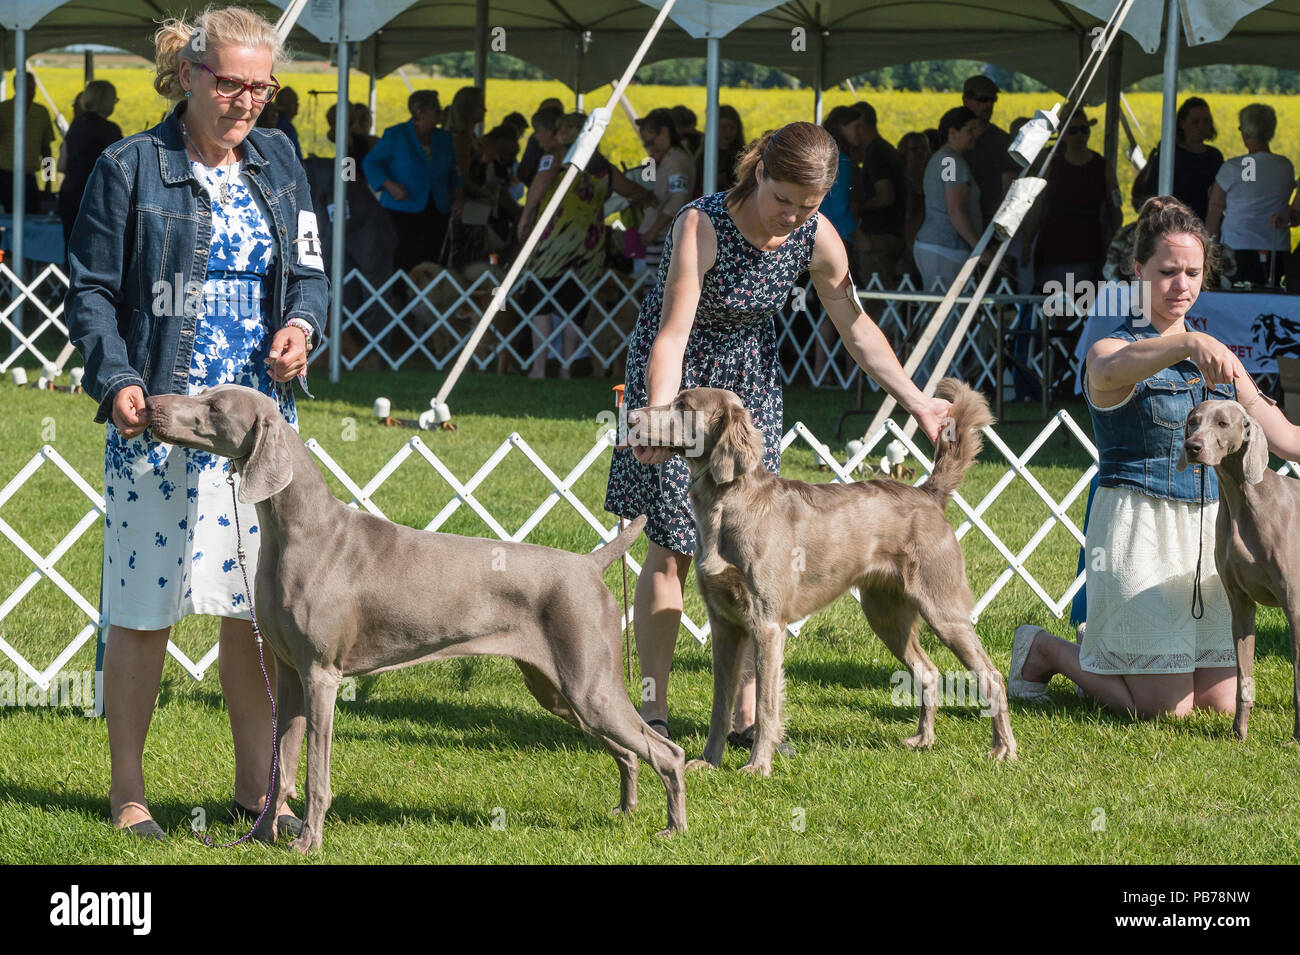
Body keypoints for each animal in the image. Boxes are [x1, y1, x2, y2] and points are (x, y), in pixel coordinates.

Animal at [147, 382, 686, 852]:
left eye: (215, 406)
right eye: (205, 395)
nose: (151, 406)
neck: (297, 529)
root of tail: (590, 563)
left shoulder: (322, 674)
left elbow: (316, 773)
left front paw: (307, 842)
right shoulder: (288, 673)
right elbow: (282, 765)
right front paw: (261, 837)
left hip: (589, 685)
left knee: (667, 751)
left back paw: (674, 829)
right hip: (559, 690)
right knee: (629, 751)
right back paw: (625, 811)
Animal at [626, 376, 1013, 774]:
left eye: (685, 406)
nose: (631, 416)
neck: (726, 506)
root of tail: (928, 494)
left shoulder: (766, 623)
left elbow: (766, 704)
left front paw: (758, 765)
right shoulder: (724, 624)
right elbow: (721, 704)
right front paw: (707, 761)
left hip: (942, 607)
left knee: (991, 675)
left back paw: (1002, 748)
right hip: (885, 614)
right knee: (928, 671)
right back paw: (923, 739)